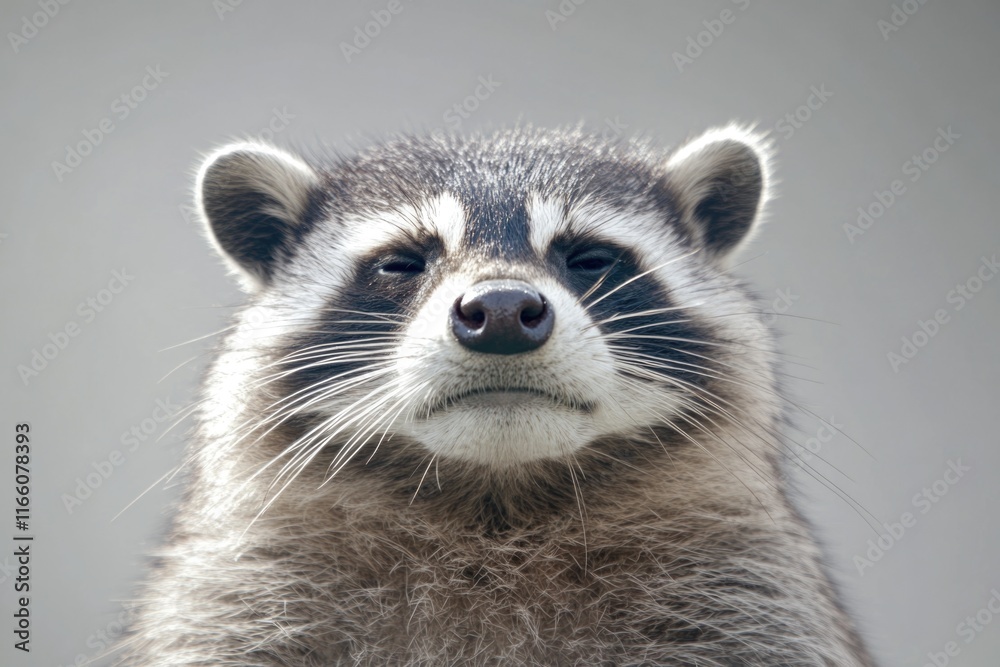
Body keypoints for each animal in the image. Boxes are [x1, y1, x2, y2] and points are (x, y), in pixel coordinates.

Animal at [118, 125, 875, 665]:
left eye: (590, 257)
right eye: (401, 263)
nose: (504, 310)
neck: (496, 500)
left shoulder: (748, 596)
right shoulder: (236, 599)